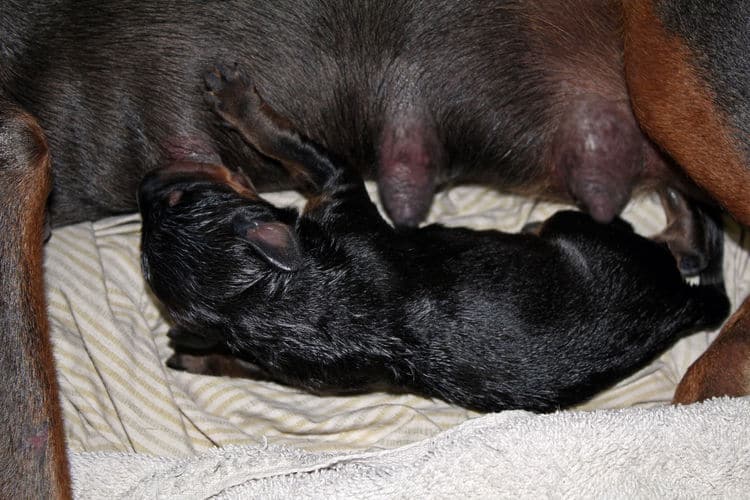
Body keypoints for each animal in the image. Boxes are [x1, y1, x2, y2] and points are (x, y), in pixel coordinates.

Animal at [138, 69, 732, 414]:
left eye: (178, 198)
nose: (147, 181)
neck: (267, 298)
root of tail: (679, 308)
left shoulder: (338, 187)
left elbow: (287, 141)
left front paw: (236, 100)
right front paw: (196, 355)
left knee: (697, 245)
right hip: (582, 229)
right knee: (692, 246)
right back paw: (676, 200)